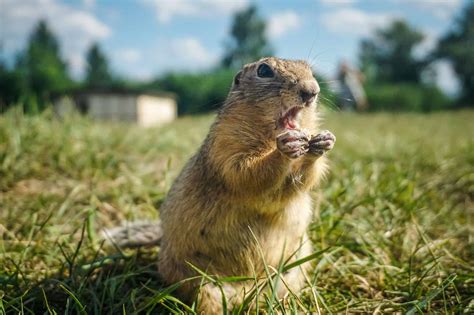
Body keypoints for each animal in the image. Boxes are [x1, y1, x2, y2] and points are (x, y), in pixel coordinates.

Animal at [103, 56, 336, 314]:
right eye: (264, 70)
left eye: (309, 69)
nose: (311, 91)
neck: (268, 134)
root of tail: (248, 293)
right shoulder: (226, 146)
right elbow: (247, 173)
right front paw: (285, 148)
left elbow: (302, 182)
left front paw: (322, 142)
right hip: (202, 284)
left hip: (293, 270)